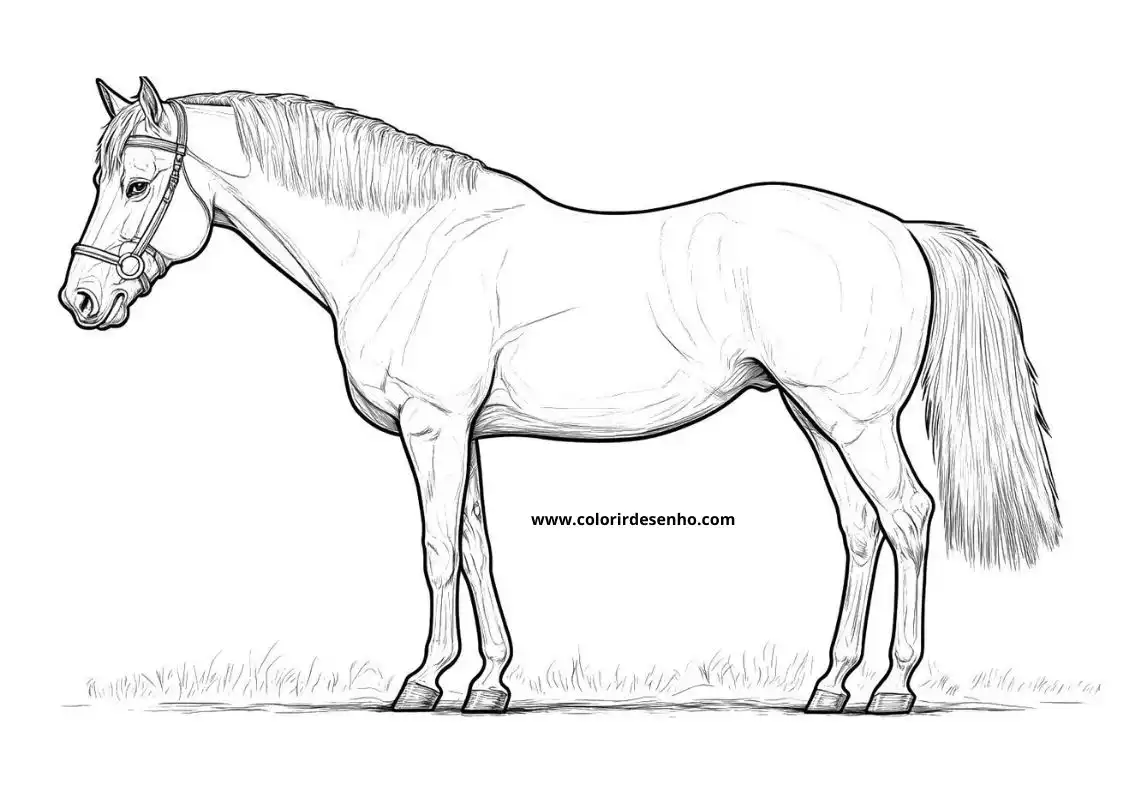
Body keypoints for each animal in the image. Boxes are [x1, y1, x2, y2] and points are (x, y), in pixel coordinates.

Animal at [60, 77, 1060, 715]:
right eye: (98, 176)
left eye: (137, 182)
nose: (81, 299)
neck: (405, 246)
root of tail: (902, 230)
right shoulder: (459, 435)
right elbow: (476, 549)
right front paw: (488, 685)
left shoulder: (432, 428)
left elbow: (435, 552)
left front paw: (420, 684)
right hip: (816, 418)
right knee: (861, 528)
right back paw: (828, 689)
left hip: (854, 421)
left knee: (907, 517)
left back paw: (890, 689)